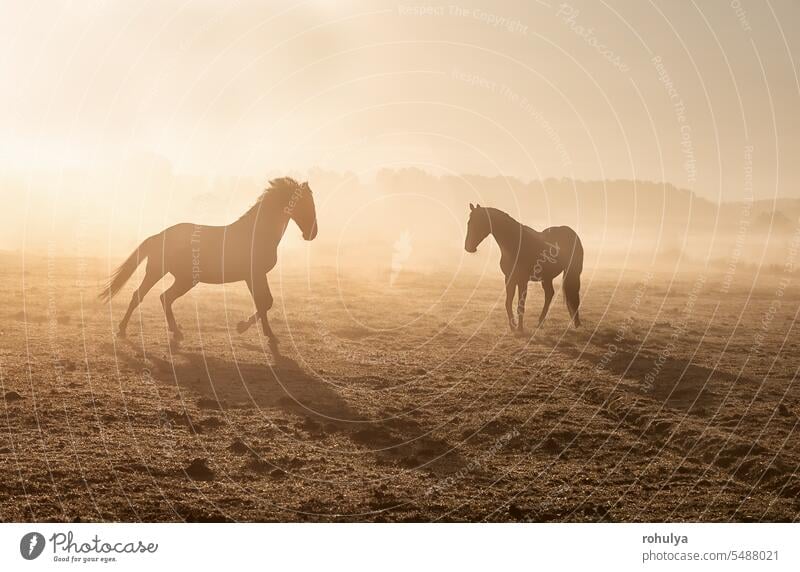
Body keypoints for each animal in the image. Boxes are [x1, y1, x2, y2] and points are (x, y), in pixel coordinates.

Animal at [97, 177, 316, 342]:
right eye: (305, 203)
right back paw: (123, 330)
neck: (256, 233)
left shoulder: (254, 276)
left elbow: (266, 302)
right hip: (162, 273)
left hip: (182, 279)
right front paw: (255, 330)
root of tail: (159, 236)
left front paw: (255, 330)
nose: (312, 234)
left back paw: (174, 332)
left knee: (162, 297)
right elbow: (264, 303)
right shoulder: (254, 275)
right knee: (142, 296)